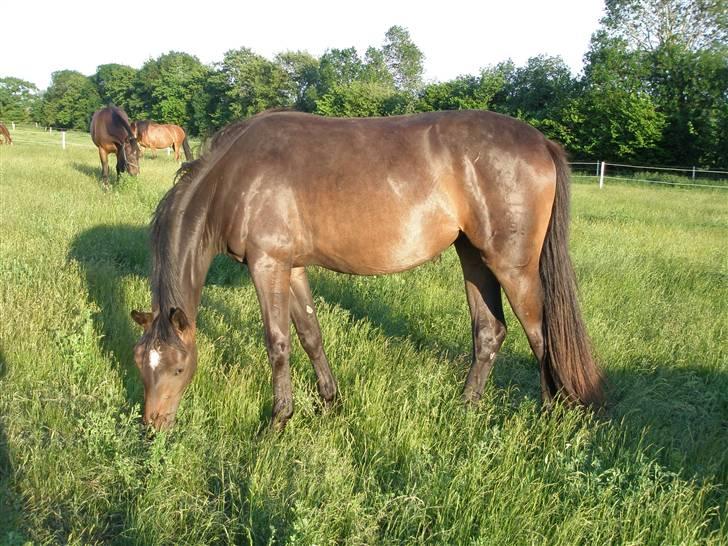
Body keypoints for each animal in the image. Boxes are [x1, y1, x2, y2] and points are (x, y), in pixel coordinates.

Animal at [129, 107, 604, 430]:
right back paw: (465, 408)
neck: (233, 178)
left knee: (540, 335)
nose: (153, 426)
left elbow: (278, 344)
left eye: (177, 367)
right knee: (490, 332)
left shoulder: (268, 265)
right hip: (474, 257)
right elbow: (310, 335)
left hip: (512, 266)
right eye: (140, 364)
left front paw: (279, 419)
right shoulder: (292, 267)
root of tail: (542, 143)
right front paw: (330, 402)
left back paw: (549, 415)